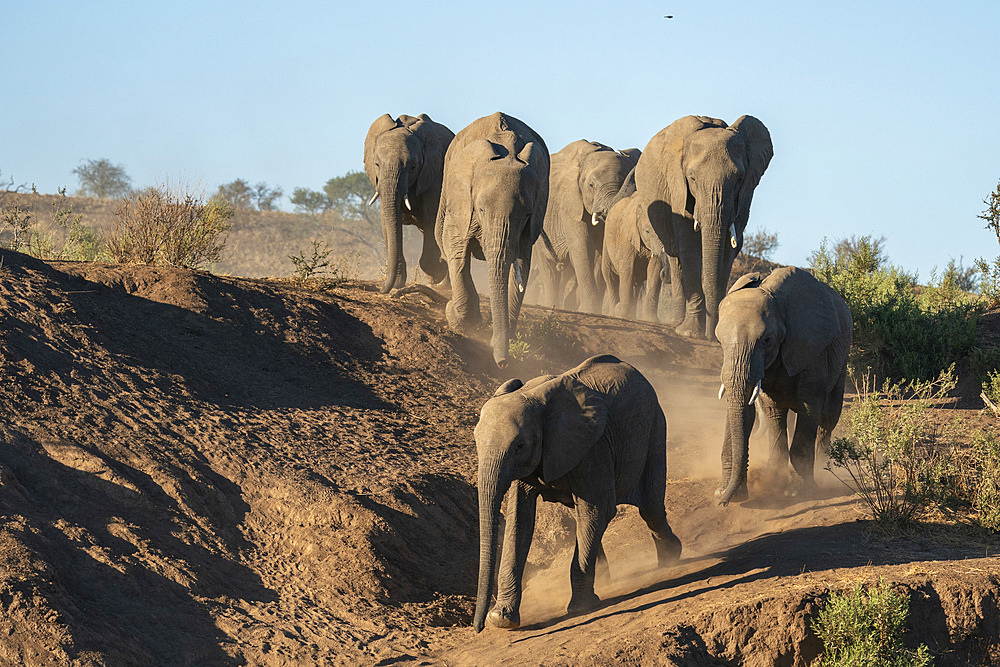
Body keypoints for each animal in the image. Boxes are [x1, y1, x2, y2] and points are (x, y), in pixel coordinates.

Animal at [364, 112, 454, 292]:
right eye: (376, 164)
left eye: (412, 166)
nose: (381, 289)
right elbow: (387, 218)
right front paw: (398, 283)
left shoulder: (435, 172)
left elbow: (432, 215)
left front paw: (437, 275)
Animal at [438, 112, 552, 368]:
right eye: (480, 209)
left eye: (527, 214)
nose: (503, 364)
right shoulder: (461, 200)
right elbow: (455, 248)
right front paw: (457, 317)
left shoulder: (530, 225)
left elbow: (521, 265)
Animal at [474, 354, 680, 632]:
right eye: (475, 440)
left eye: (519, 446)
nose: (478, 627)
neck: (535, 399)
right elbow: (520, 520)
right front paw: (502, 620)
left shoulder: (593, 448)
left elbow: (597, 510)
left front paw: (581, 608)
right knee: (585, 518)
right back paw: (606, 578)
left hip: (655, 427)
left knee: (650, 508)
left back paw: (671, 558)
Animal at [540, 141, 640, 314]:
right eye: (591, 185)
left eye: (625, 183)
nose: (626, 152)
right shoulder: (570, 203)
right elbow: (583, 248)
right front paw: (589, 309)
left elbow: (599, 254)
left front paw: (591, 309)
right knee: (549, 270)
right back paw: (551, 307)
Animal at [632, 114, 772, 340]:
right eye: (692, 178)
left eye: (739, 178)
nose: (713, 334)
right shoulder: (678, 187)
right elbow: (689, 244)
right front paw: (690, 333)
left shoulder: (745, 195)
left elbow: (729, 248)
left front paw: (713, 334)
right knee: (675, 255)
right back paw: (676, 322)